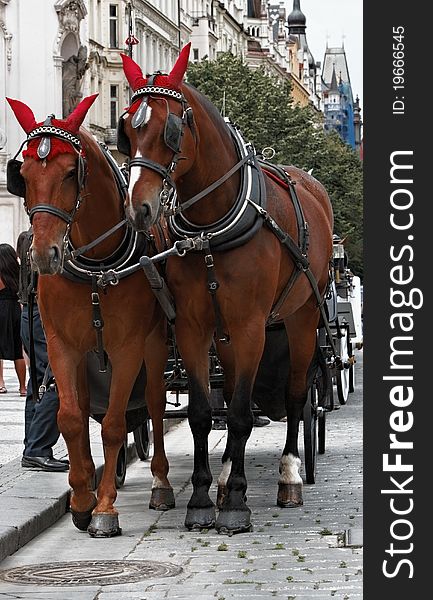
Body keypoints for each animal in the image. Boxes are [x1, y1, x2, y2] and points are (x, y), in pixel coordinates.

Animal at [6, 96, 174, 536]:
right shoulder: (62, 347)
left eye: (70, 173)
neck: (97, 266)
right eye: (23, 174)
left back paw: (161, 484)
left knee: (153, 404)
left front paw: (105, 509)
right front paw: (82, 500)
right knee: (85, 412)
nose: (43, 255)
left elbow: (115, 423)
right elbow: (69, 418)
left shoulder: (128, 347)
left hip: (153, 346)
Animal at [116, 45, 332, 536]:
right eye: (127, 131)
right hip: (227, 334)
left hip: (302, 318)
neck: (210, 230)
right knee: (233, 388)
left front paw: (234, 503)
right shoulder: (195, 328)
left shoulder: (252, 326)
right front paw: (201, 499)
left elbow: (238, 413)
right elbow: (202, 413)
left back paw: (288, 476)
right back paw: (224, 478)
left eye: (171, 130)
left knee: (295, 395)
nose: (139, 209)